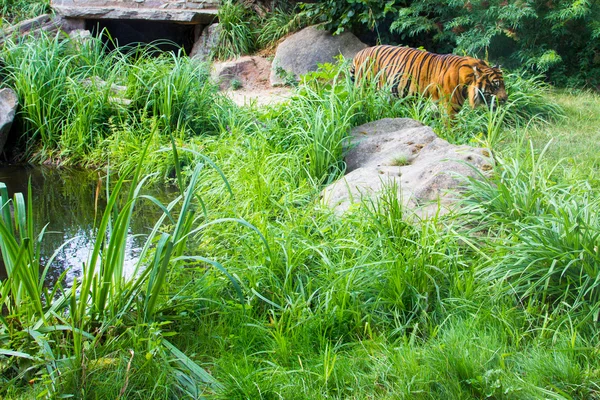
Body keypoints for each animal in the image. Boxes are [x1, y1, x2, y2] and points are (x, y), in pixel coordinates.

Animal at [350, 45, 508, 114]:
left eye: (503, 86)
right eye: (495, 86)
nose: (505, 99)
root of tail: (359, 53)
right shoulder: (450, 107)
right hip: (364, 89)